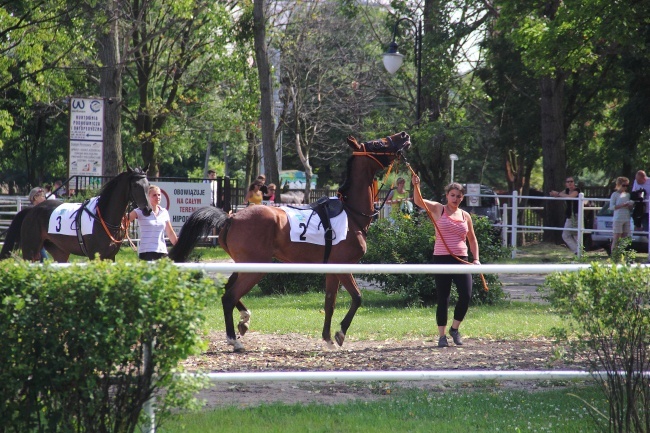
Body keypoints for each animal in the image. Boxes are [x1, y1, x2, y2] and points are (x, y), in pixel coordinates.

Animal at [0, 165, 149, 260]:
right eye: (135, 185)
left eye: (148, 185)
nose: (147, 209)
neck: (102, 216)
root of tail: (31, 210)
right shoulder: (95, 256)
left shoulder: (110, 256)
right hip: (30, 251)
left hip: (59, 251)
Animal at [170, 131, 408, 352]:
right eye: (377, 144)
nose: (404, 136)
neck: (351, 214)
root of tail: (231, 217)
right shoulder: (343, 265)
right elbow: (357, 297)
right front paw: (340, 333)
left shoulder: (332, 269)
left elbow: (329, 302)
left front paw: (327, 338)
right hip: (256, 267)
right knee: (229, 296)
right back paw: (234, 340)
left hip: (243, 264)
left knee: (226, 290)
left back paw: (244, 319)